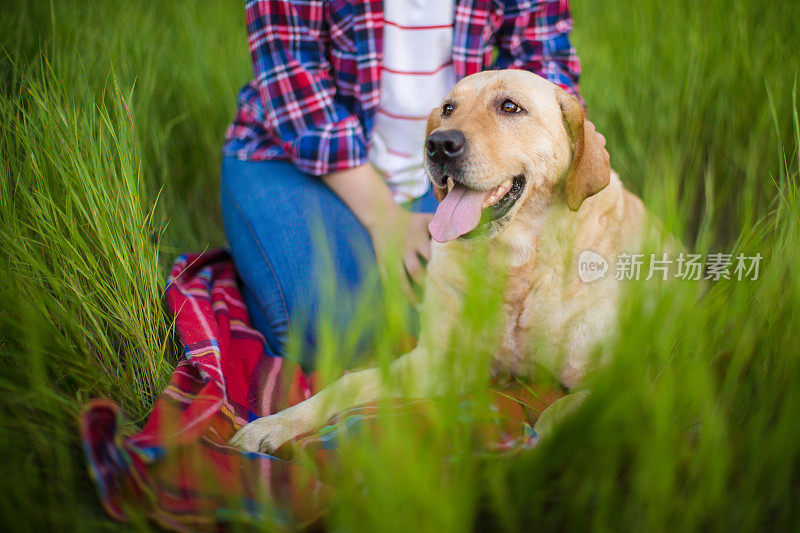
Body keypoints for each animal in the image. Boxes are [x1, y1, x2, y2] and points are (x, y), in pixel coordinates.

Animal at [233, 69, 648, 454]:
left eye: (509, 107)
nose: (438, 144)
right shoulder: (437, 363)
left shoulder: (623, 381)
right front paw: (276, 423)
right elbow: (350, 382)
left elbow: (554, 414)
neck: (516, 264)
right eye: (448, 109)